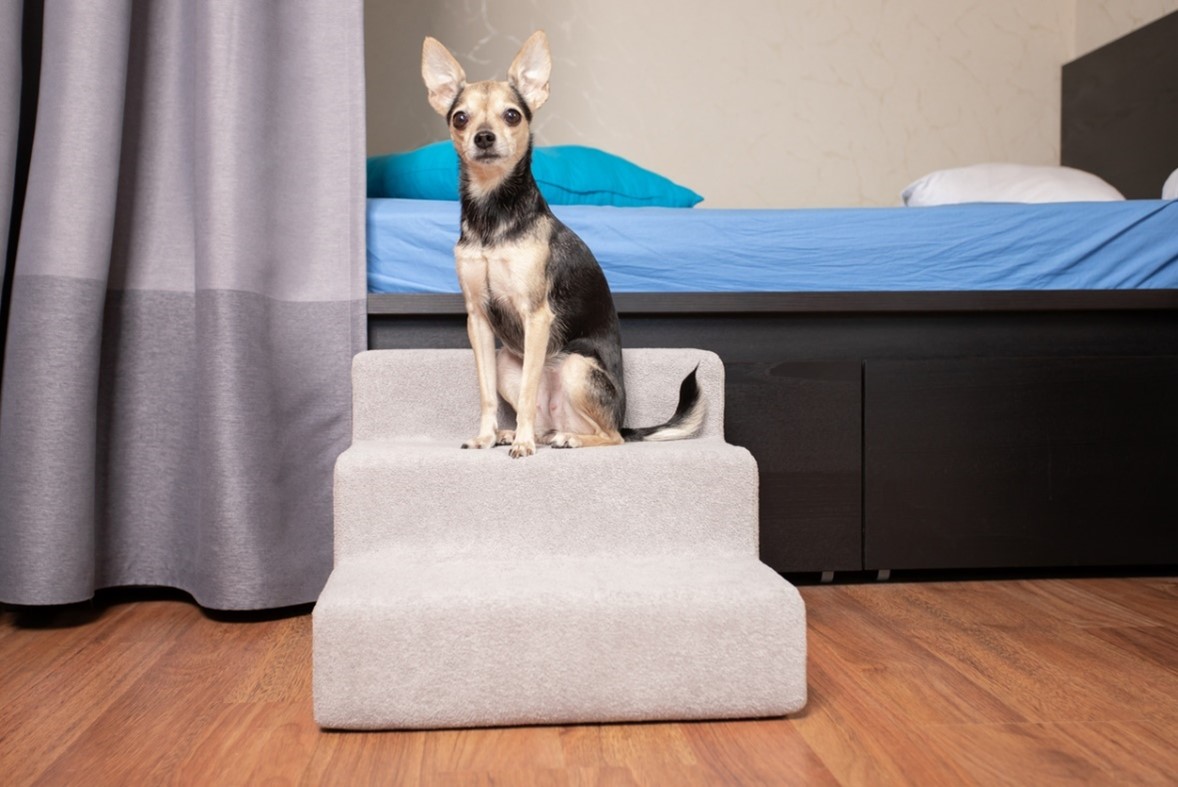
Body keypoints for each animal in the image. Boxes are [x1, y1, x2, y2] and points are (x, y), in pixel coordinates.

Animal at [421, 30, 702, 457]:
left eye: (512, 115)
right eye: (460, 118)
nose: (483, 137)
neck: (492, 213)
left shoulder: (536, 315)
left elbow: (527, 392)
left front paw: (521, 445)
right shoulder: (478, 320)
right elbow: (487, 395)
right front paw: (487, 435)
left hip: (575, 366)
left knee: (612, 436)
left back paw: (561, 437)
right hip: (507, 361)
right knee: (543, 417)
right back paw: (521, 434)